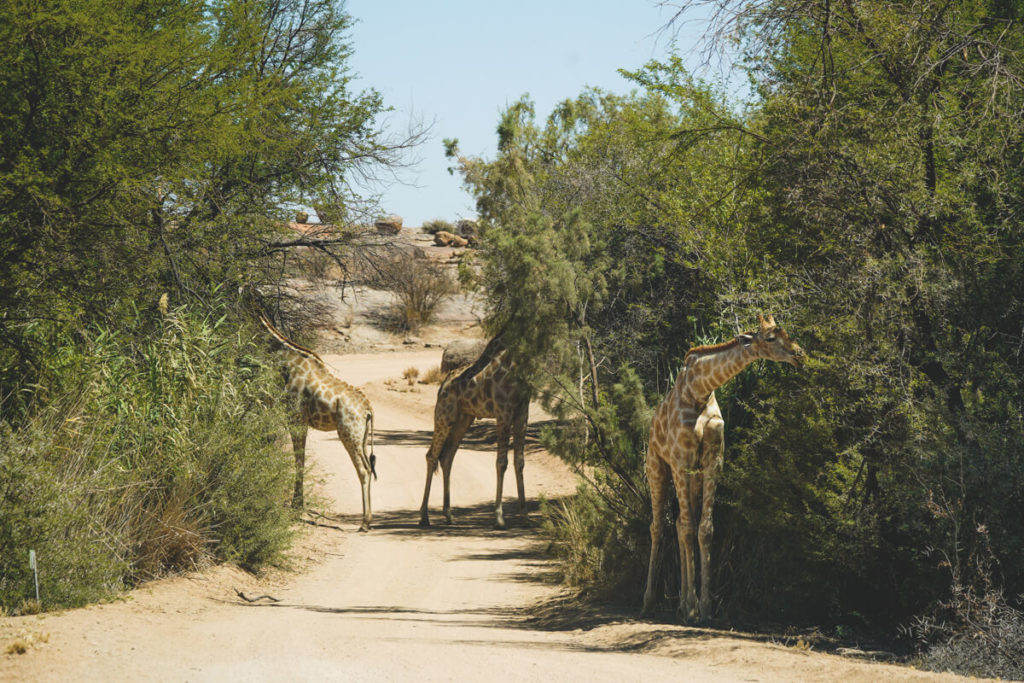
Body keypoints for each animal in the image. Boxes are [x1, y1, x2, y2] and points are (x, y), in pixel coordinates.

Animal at [258, 313, 378, 532]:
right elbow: (300, 459)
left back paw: (365, 523)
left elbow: (299, 460)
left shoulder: (296, 418)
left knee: (364, 470)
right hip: (362, 438)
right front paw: (298, 504)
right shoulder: (300, 421)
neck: (287, 361)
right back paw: (369, 521)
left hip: (348, 435)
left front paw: (296, 507)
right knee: (368, 466)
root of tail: (368, 410)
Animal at [417, 335, 528, 528]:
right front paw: (499, 518)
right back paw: (424, 517)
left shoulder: (522, 412)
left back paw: (449, 515)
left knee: (447, 457)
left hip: (464, 419)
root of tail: (443, 384)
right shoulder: (503, 412)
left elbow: (519, 462)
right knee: (432, 455)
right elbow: (502, 463)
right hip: (444, 415)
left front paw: (525, 516)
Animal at [643, 317, 802, 622]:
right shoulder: (680, 462)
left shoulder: (712, 462)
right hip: (657, 467)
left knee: (679, 523)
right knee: (658, 526)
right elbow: (688, 529)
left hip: (693, 477)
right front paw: (693, 607)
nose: (799, 354)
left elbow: (704, 529)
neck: (699, 391)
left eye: (786, 332)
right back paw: (648, 601)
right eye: (770, 338)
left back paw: (681, 604)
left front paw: (703, 607)